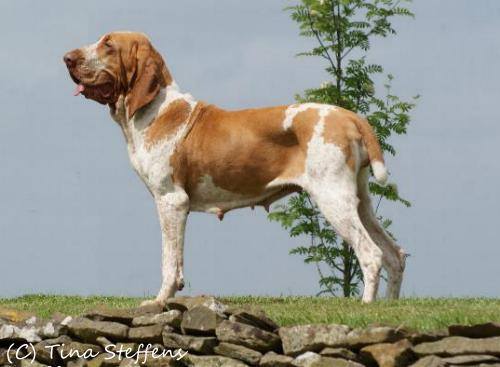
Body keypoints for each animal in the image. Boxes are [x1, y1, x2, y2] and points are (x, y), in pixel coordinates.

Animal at [63, 32, 406, 308]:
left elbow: (168, 260)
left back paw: (365, 306)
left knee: (371, 254)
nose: (67, 58)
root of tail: (350, 116)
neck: (156, 110)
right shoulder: (175, 207)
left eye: (108, 44)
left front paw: (159, 302)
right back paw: (390, 305)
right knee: (394, 254)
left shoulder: (170, 201)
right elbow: (177, 260)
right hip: (359, 202)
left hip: (333, 198)